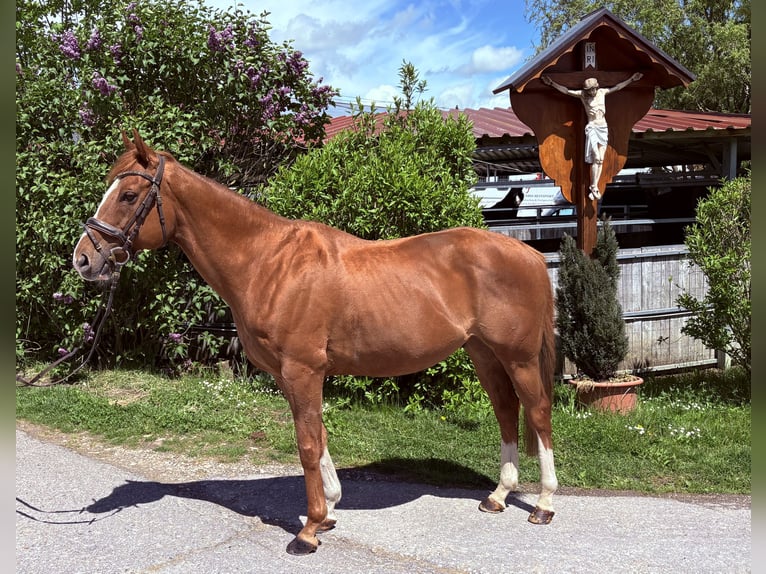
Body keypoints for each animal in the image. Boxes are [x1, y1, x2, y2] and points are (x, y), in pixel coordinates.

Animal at [72, 130, 559, 555]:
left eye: (128, 195)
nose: (83, 259)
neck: (269, 262)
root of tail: (530, 254)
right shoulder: (292, 375)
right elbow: (318, 436)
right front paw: (327, 512)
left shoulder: (302, 369)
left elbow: (306, 444)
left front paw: (307, 532)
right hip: (483, 353)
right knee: (506, 411)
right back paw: (498, 496)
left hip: (517, 357)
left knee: (536, 412)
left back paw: (544, 504)